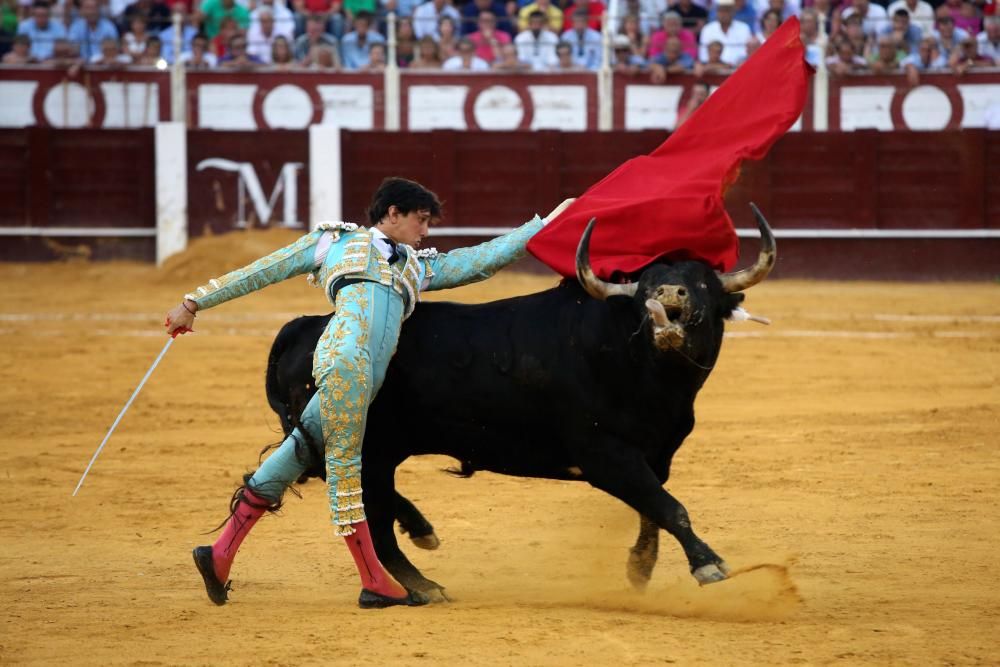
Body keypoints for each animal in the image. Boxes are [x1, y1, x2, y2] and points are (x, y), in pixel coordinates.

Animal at [264, 206, 772, 596]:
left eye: (702, 284)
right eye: (645, 287)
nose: (667, 295)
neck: (648, 373)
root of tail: (304, 326)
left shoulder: (657, 454)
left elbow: (654, 508)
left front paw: (640, 569)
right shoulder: (605, 455)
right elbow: (668, 507)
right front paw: (708, 564)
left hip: (374, 450)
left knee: (371, 502)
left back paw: (422, 537)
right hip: (361, 446)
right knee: (369, 515)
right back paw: (423, 585)